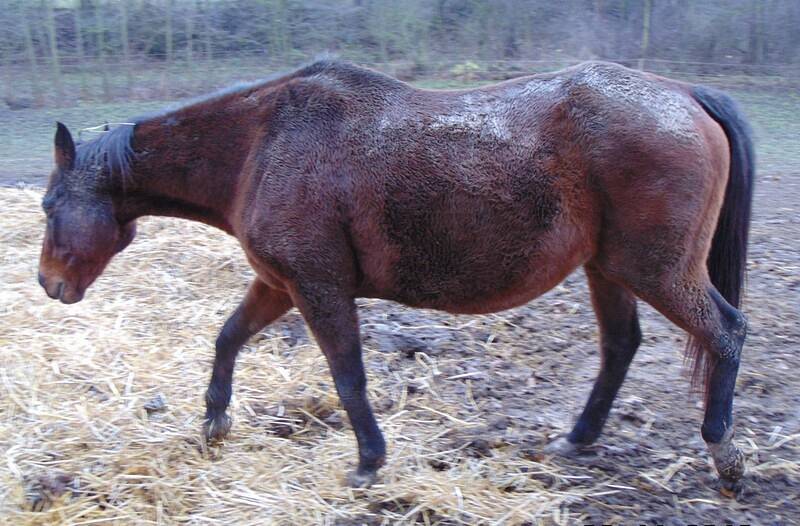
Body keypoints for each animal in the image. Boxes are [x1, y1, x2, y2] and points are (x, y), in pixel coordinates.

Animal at [36, 60, 752, 496]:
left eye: (47, 205)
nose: (48, 284)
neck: (262, 144)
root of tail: (685, 95)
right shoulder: (278, 284)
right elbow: (228, 338)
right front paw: (214, 424)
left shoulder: (317, 288)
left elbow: (348, 375)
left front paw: (368, 462)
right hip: (608, 269)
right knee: (620, 347)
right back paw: (578, 440)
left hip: (656, 270)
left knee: (726, 332)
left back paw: (724, 456)